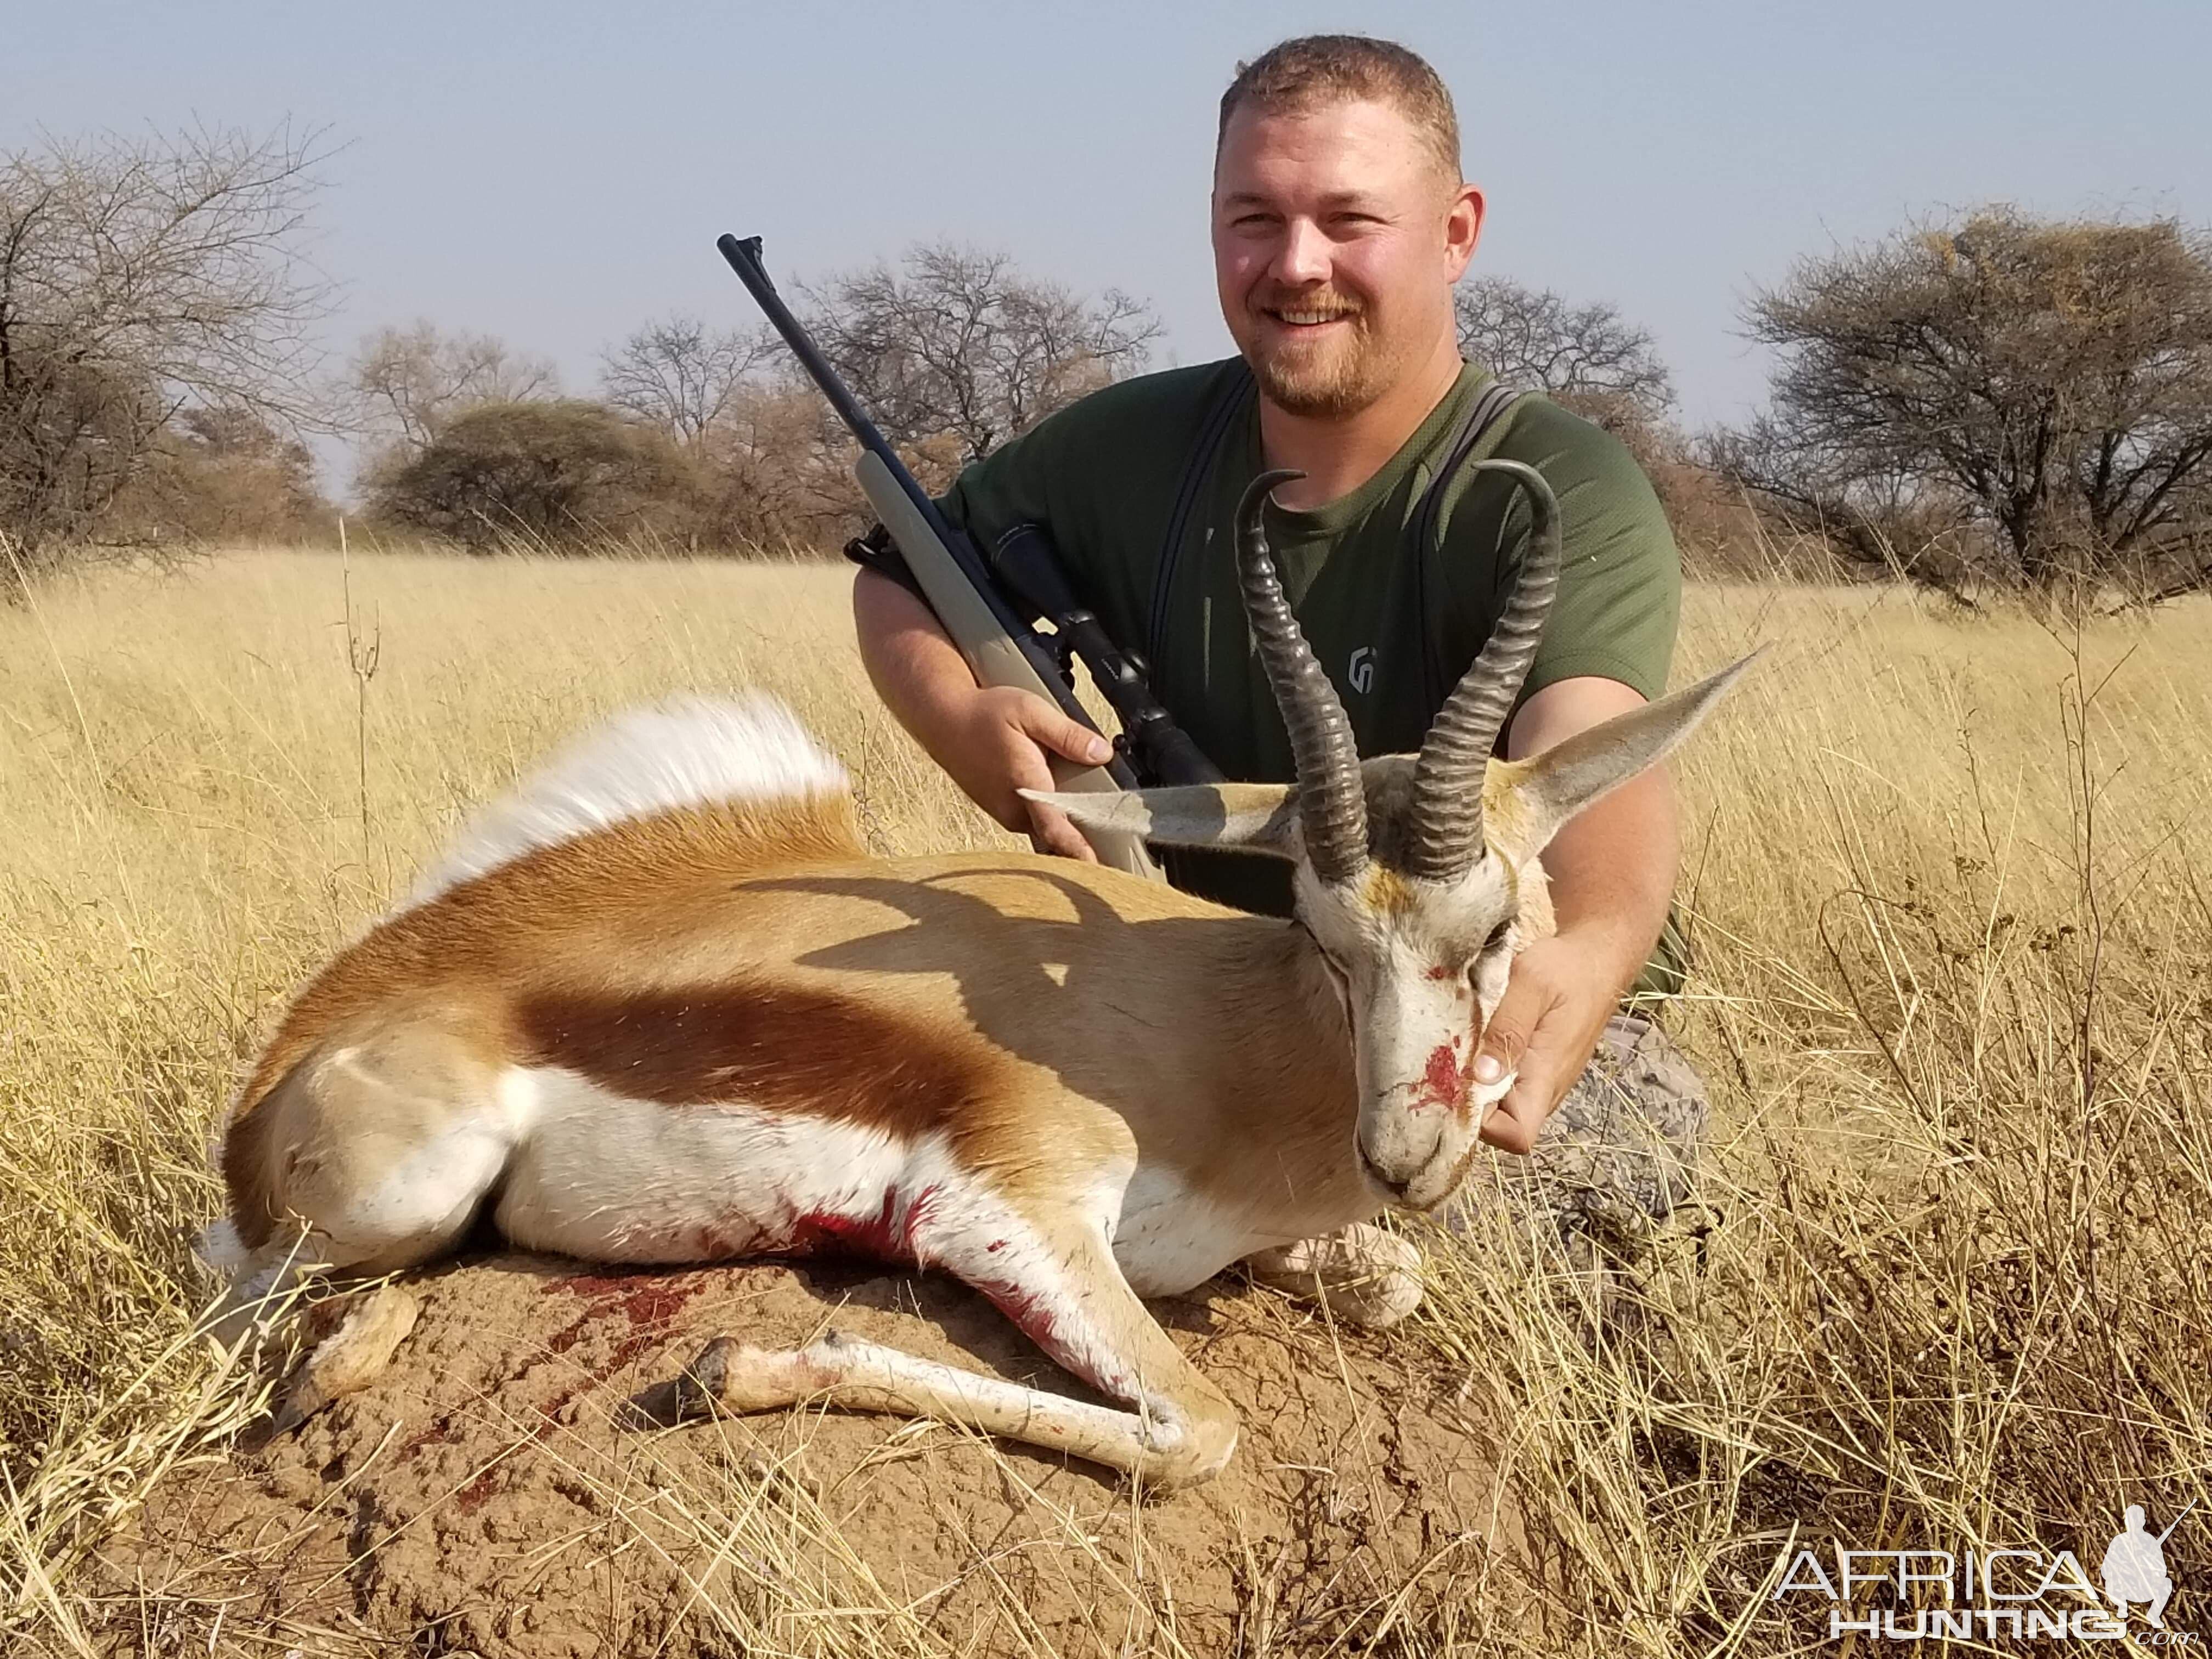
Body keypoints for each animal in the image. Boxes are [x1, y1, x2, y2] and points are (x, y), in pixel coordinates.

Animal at [199, 462, 1752, 1486]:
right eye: (1318, 931)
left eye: (1497, 930)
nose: (1408, 1157)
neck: (1233, 1051)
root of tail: (294, 1058)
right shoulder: (1006, 1211)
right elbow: (1200, 1431)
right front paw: (734, 1368)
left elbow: (1391, 1288)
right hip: (402, 1189)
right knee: (247, 1294)